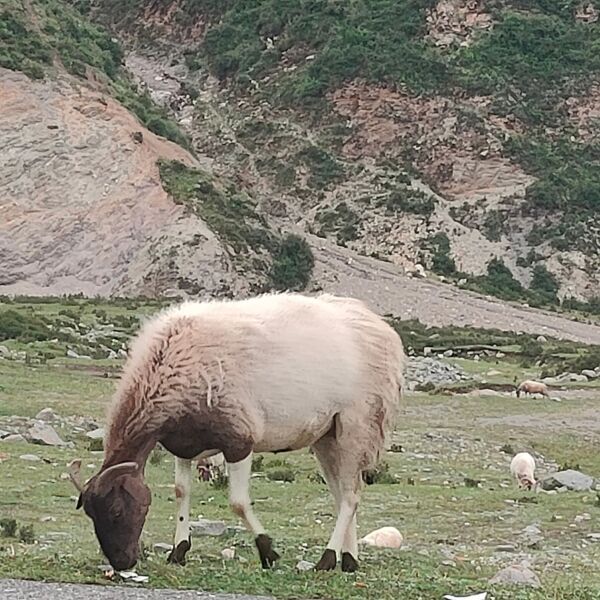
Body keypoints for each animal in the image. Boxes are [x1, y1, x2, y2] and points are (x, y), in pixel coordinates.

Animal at [68, 292, 406, 576]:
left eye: (115, 511)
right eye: (90, 513)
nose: (121, 563)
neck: (169, 364)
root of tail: (381, 328)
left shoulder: (239, 440)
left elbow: (238, 503)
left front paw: (268, 552)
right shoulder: (184, 443)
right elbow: (181, 492)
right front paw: (179, 551)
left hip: (357, 424)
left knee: (349, 496)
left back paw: (327, 559)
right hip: (326, 435)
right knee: (343, 494)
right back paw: (348, 560)